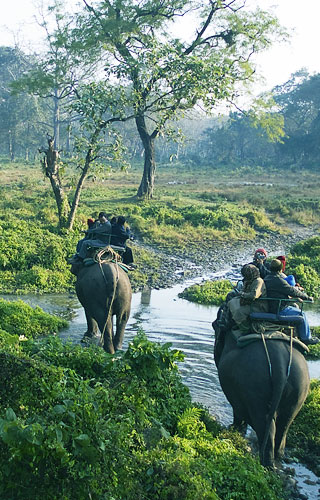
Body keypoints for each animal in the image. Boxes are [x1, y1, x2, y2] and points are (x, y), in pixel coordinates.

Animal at [214, 326, 308, 466]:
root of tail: (279, 363)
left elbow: (237, 409)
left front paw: (234, 428)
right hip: (299, 387)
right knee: (284, 424)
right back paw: (278, 458)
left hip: (255, 387)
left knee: (265, 424)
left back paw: (265, 463)